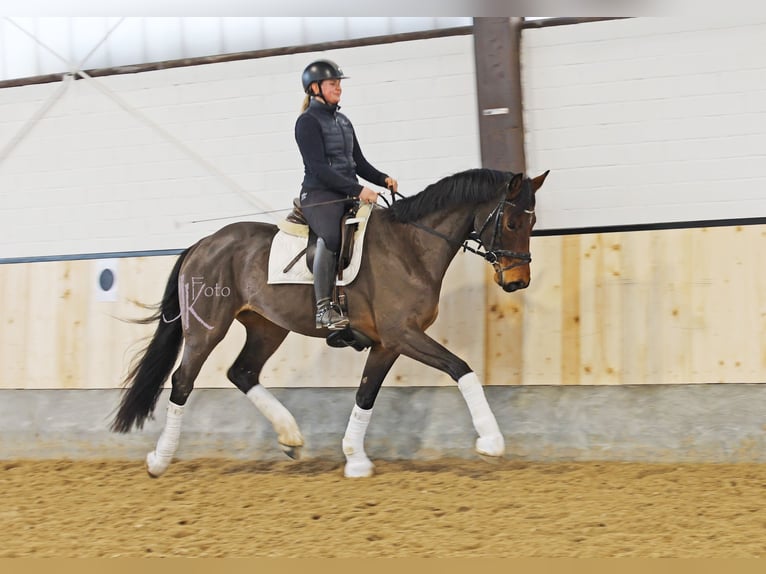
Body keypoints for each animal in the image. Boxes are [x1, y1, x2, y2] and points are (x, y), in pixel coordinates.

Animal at [111, 169, 548, 480]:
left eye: (532, 224)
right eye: (512, 223)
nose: (518, 281)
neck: (411, 247)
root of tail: (204, 243)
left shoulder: (387, 343)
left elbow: (366, 395)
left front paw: (355, 460)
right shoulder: (402, 334)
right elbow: (462, 368)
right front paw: (491, 441)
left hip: (268, 326)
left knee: (243, 372)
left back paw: (291, 437)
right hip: (207, 329)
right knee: (183, 381)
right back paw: (159, 460)